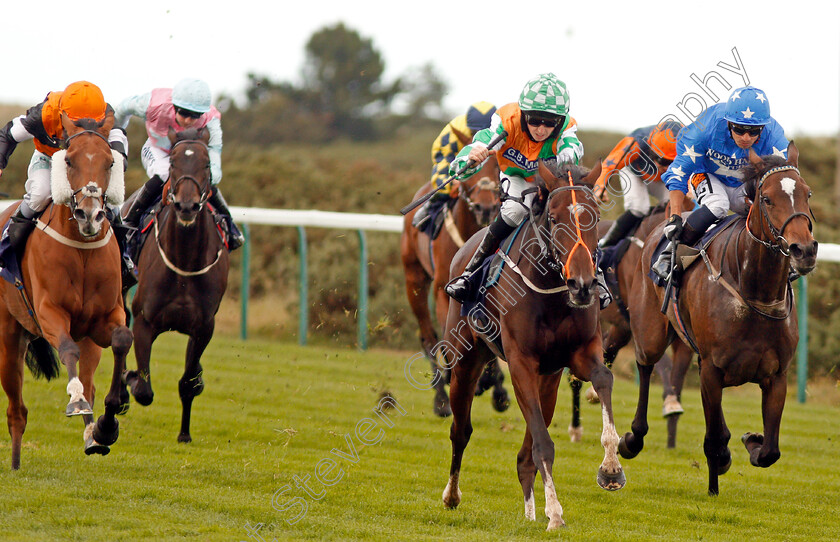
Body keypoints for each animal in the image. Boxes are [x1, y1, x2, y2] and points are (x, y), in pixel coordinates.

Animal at [0, 112, 133, 470]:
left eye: (111, 161)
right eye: (69, 160)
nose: (90, 214)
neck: (82, 249)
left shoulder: (105, 318)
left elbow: (122, 339)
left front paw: (107, 423)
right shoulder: (49, 313)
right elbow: (67, 350)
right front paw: (75, 401)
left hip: (86, 340)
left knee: (89, 379)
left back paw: (92, 436)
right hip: (9, 336)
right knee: (17, 410)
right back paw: (15, 464)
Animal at [120, 129, 228, 446]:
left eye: (207, 164)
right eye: (173, 164)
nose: (187, 206)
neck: (185, 261)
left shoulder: (203, 328)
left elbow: (188, 383)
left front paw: (184, 433)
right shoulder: (145, 321)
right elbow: (143, 389)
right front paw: (130, 380)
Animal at [398, 155, 506, 418]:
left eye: (496, 167)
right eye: (469, 169)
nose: (485, 207)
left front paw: (496, 386)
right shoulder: (442, 291)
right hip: (414, 278)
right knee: (428, 336)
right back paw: (441, 399)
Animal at [440, 160, 624, 532]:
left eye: (595, 216)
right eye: (553, 217)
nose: (583, 284)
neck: (550, 290)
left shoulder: (580, 352)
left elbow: (604, 379)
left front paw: (611, 468)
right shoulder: (521, 362)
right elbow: (543, 444)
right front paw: (555, 513)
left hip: (547, 381)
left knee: (524, 456)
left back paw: (530, 512)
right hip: (466, 360)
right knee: (460, 431)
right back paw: (452, 495)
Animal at [620, 143, 816, 498]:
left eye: (806, 194)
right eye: (767, 198)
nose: (804, 250)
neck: (754, 292)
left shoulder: (776, 374)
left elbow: (770, 451)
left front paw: (752, 440)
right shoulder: (711, 369)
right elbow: (712, 439)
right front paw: (714, 482)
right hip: (650, 331)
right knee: (645, 366)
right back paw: (632, 437)